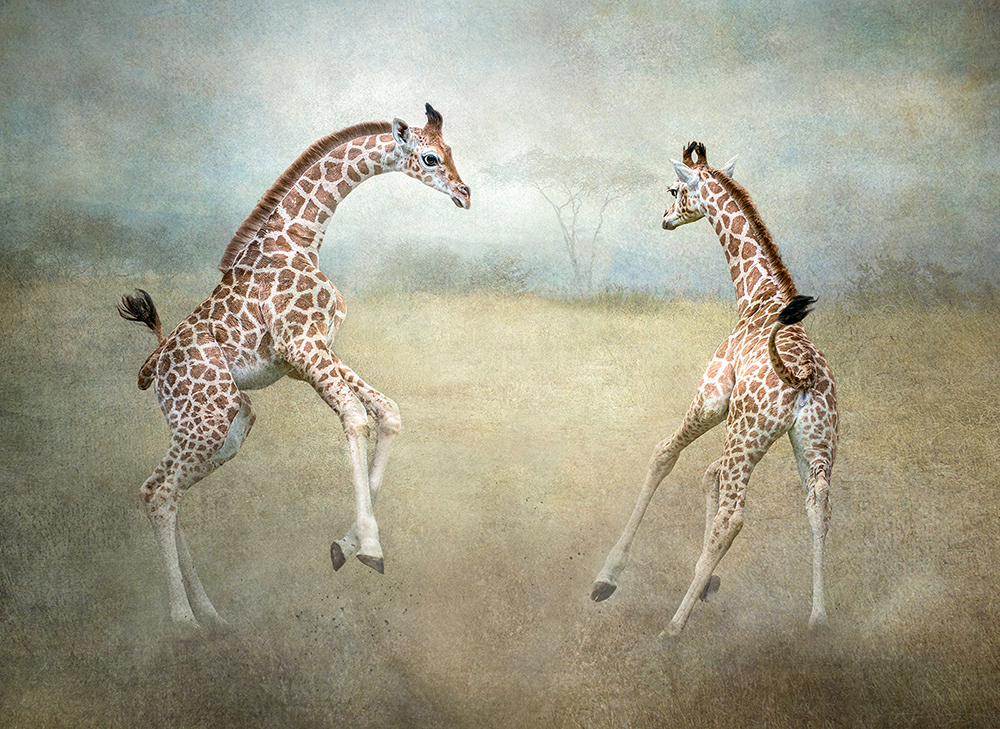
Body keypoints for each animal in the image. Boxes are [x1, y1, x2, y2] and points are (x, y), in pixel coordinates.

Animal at [118, 104, 470, 633]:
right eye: (430, 157)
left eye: (450, 150)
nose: (465, 193)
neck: (302, 240)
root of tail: (153, 365)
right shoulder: (302, 346)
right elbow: (356, 418)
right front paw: (368, 547)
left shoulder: (315, 350)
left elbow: (388, 412)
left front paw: (345, 546)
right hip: (209, 414)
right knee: (161, 493)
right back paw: (184, 622)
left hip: (224, 423)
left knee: (156, 489)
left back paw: (212, 616)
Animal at [591, 142, 838, 637]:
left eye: (673, 188)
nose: (665, 217)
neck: (754, 297)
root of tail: (803, 381)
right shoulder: (731, 418)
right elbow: (707, 473)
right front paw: (706, 582)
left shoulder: (712, 400)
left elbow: (663, 455)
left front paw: (607, 577)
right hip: (812, 443)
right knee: (817, 505)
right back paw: (818, 620)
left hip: (748, 433)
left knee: (733, 516)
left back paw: (672, 629)